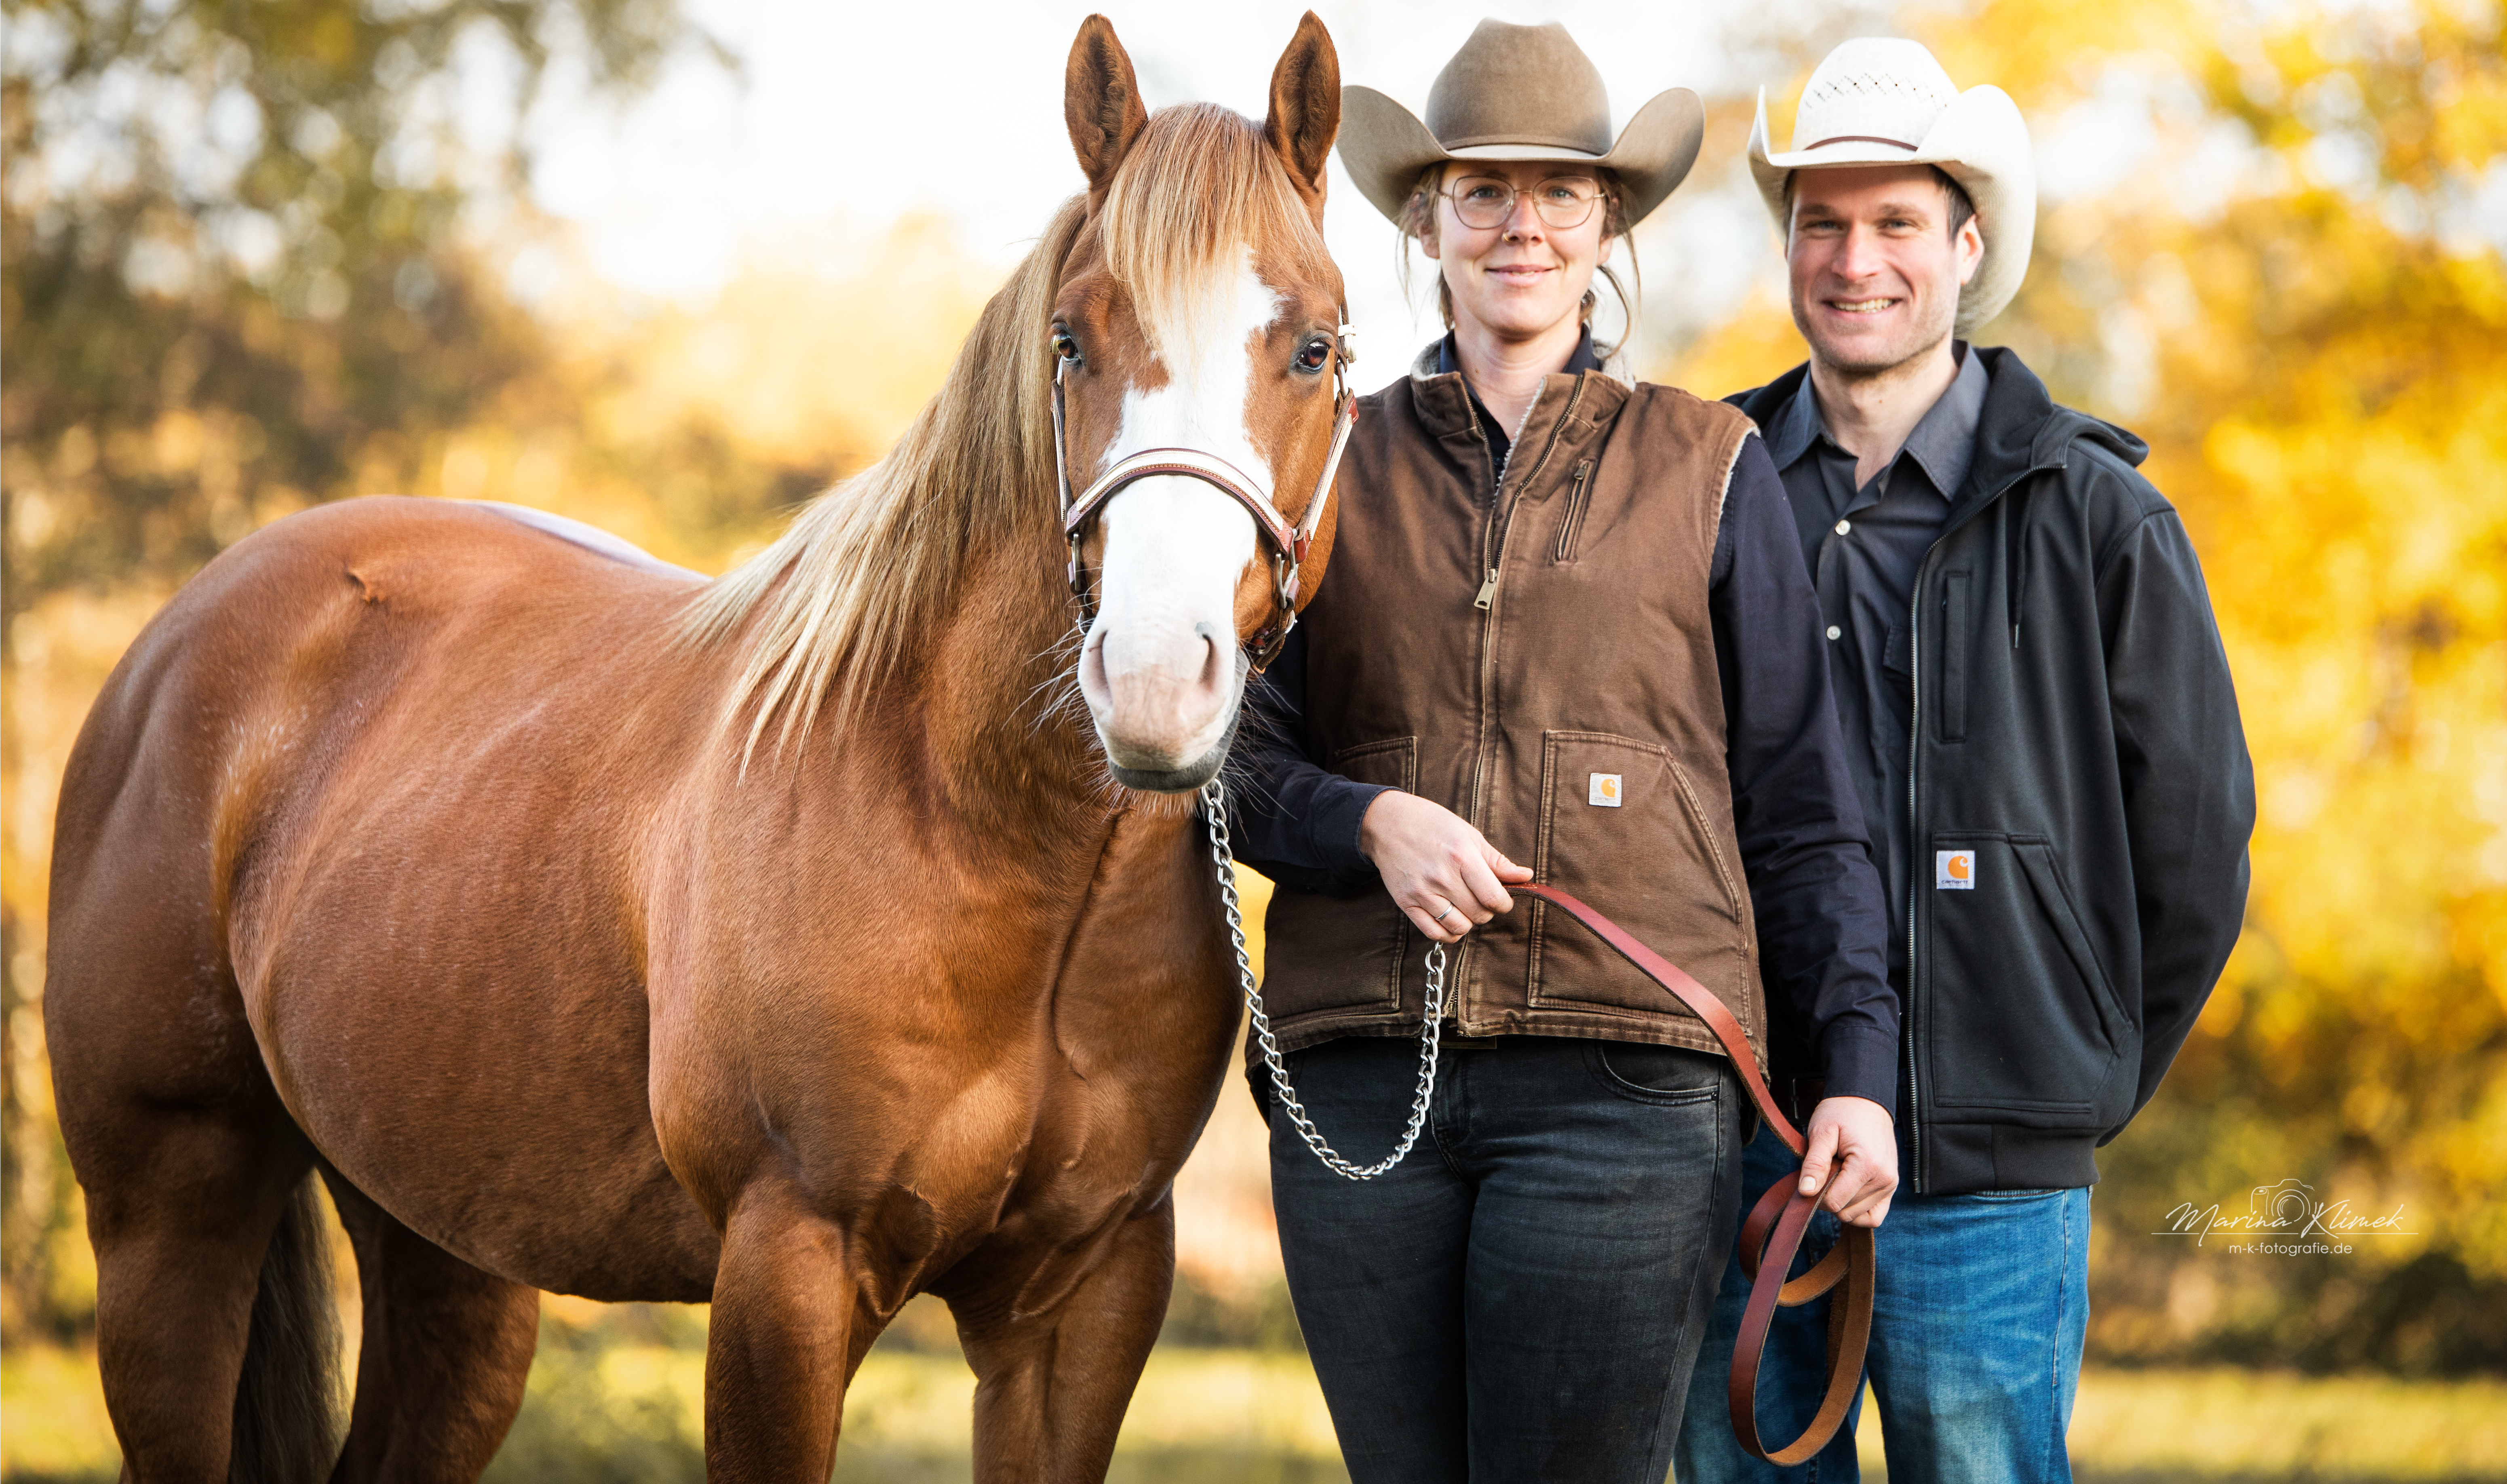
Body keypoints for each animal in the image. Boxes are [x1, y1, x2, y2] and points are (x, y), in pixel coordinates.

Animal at [42, 14, 1350, 1481]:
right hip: (172, 1222)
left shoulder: (1084, 1298)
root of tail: (181, 637)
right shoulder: (787, 1265)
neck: (972, 823)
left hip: (445, 1255)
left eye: (1315, 349)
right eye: (1071, 340)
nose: (1154, 679)